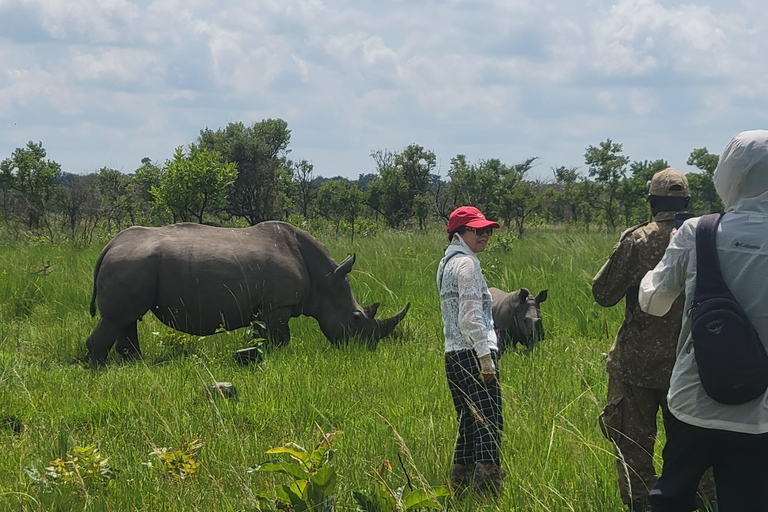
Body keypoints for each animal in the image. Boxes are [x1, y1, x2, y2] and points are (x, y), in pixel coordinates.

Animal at [86, 221, 410, 363]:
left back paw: (133, 363)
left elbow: (263, 335)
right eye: (356, 317)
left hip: (134, 264)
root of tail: (110, 245)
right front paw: (268, 357)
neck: (325, 277)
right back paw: (99, 367)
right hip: (131, 263)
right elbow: (280, 338)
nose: (367, 348)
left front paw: (250, 355)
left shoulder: (265, 307)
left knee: (127, 319)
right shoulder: (278, 305)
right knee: (116, 319)